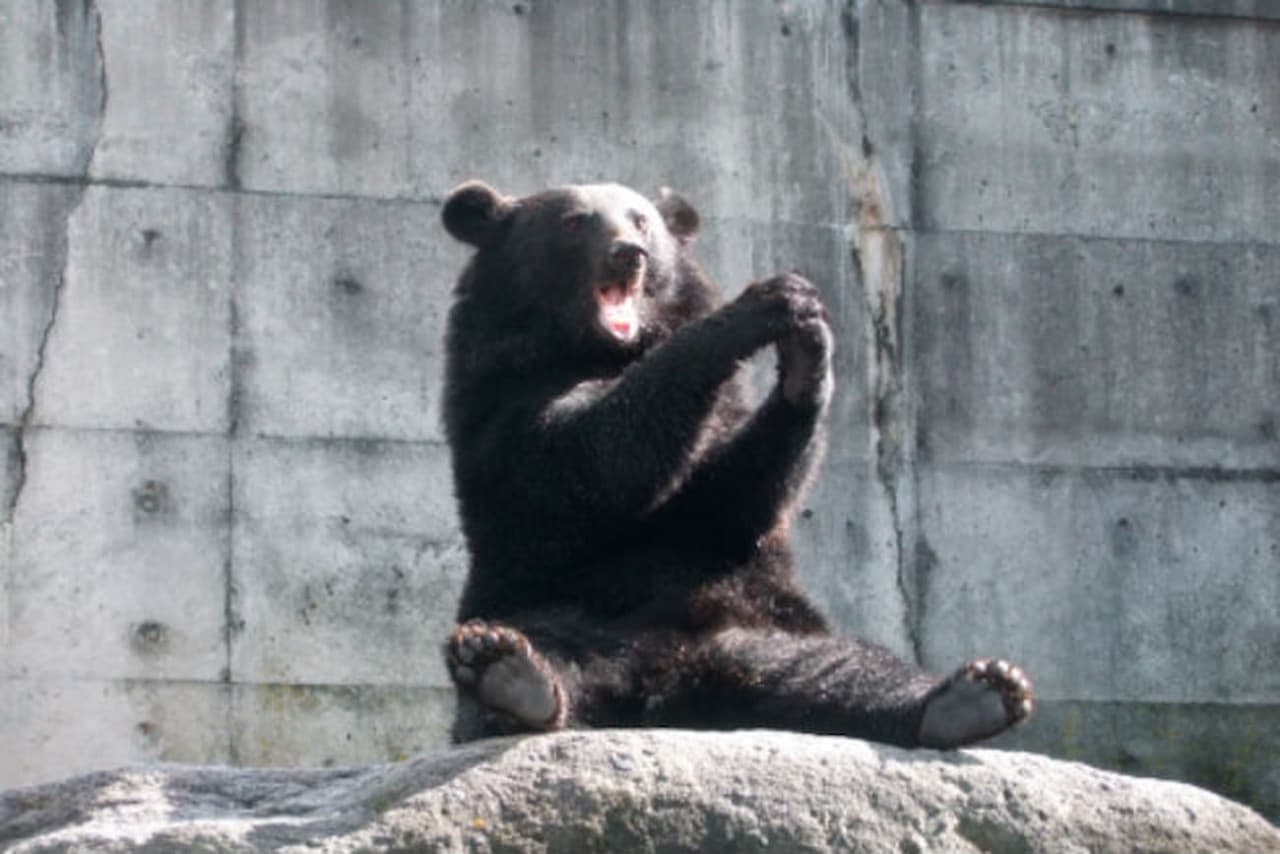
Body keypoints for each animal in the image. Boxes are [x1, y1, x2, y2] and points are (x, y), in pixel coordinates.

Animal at [439, 179, 1033, 749]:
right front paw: (764, 305)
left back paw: (973, 696)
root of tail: (677, 680)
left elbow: (727, 499)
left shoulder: (720, 446)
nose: (628, 255)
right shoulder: (504, 398)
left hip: (769, 630)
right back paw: (510, 676)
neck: (601, 349)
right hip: (553, 604)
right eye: (575, 221)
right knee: (542, 649)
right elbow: (585, 458)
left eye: (640, 220)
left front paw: (807, 354)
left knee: (852, 668)